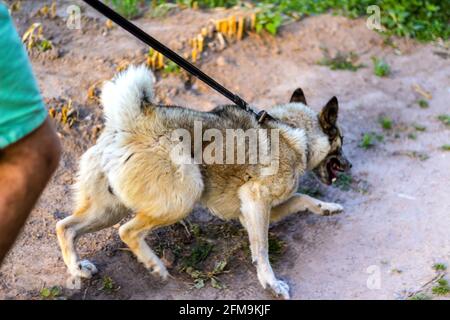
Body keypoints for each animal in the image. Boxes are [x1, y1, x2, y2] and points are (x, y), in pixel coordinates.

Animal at [55, 63, 352, 298]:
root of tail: (129, 123)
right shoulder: (256, 199)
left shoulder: (252, 211)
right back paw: (154, 265)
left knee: (65, 227)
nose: (349, 166)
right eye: (341, 140)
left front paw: (327, 208)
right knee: (127, 231)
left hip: (108, 209)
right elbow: (263, 251)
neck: (291, 129)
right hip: (185, 194)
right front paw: (271, 284)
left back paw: (77, 269)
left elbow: (302, 199)